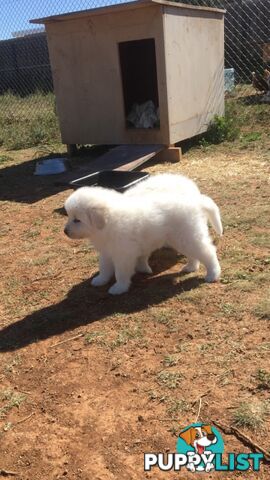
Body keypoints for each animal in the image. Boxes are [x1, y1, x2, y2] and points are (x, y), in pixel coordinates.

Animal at [64, 180, 223, 294]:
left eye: (77, 220)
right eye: (69, 216)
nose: (65, 232)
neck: (107, 223)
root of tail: (196, 202)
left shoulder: (123, 254)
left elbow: (120, 273)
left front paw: (119, 288)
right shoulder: (107, 251)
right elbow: (104, 268)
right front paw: (100, 280)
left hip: (187, 236)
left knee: (208, 252)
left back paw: (213, 274)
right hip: (183, 238)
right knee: (194, 254)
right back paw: (191, 267)